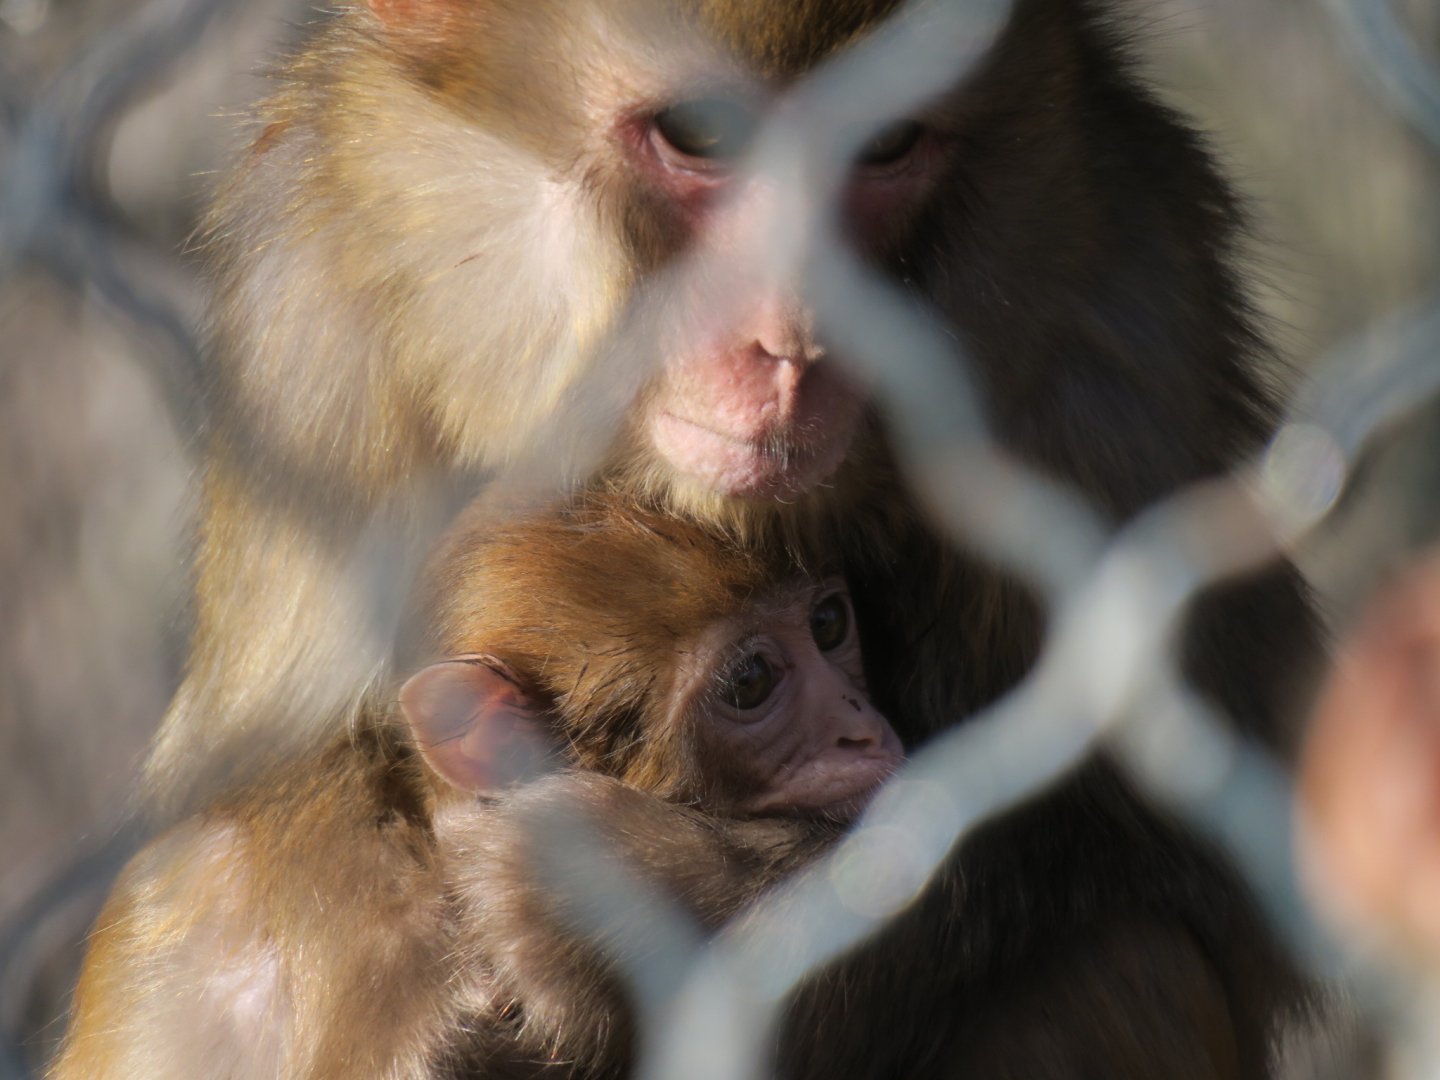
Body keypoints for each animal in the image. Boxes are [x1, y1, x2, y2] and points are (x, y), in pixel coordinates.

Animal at [71, 0, 1326, 1076]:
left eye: (884, 143)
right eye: (698, 138)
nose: (794, 338)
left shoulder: (1116, 323)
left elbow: (1187, 860)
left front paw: (639, 909)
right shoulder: (315, 320)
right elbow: (250, 784)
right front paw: (391, 970)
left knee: (1120, 967)